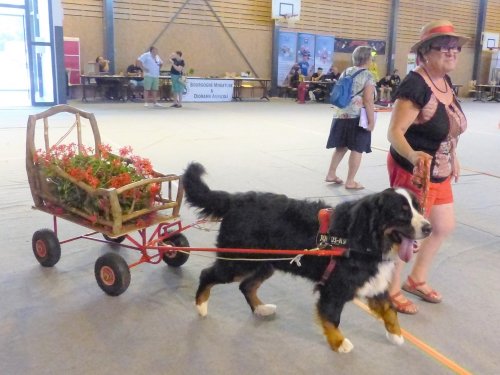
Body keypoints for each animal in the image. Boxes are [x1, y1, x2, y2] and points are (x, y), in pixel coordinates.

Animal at [182, 163, 432, 354]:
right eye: (402, 212)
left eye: (418, 208)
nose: (429, 227)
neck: (364, 239)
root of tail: (235, 200)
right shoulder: (334, 288)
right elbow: (332, 317)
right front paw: (339, 343)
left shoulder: (373, 282)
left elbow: (390, 310)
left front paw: (396, 335)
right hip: (237, 261)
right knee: (209, 275)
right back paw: (201, 306)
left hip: (264, 263)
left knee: (247, 286)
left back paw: (261, 309)